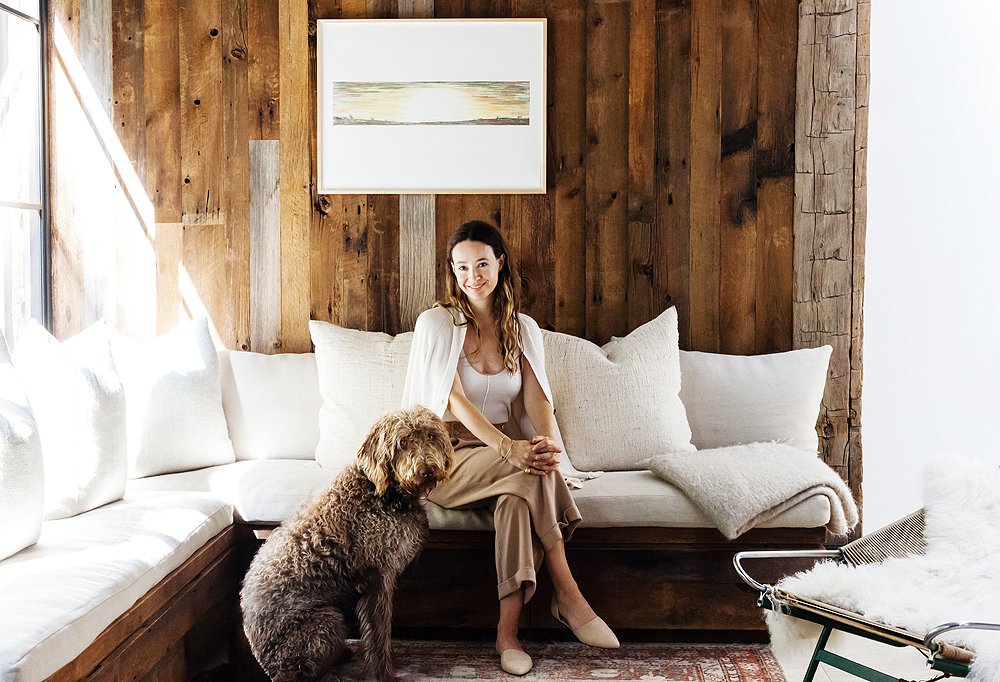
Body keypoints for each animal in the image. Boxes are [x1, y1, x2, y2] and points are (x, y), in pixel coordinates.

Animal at [240, 406, 454, 682]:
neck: (383, 493)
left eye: (430, 436)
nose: (427, 470)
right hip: (326, 621)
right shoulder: (377, 578)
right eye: (402, 443)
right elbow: (379, 633)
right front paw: (384, 674)